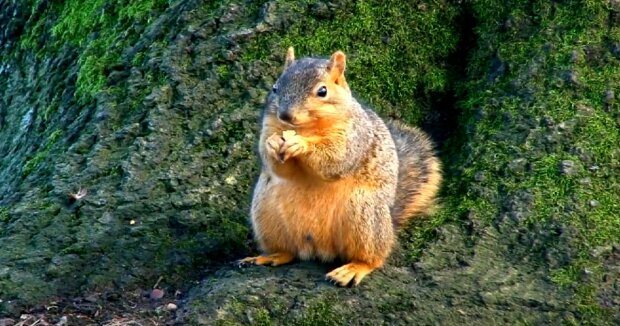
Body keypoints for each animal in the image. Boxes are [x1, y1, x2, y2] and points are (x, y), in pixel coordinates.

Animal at [240, 47, 444, 286]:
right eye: (275, 87)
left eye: (322, 91)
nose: (285, 115)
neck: (306, 128)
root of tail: (318, 248)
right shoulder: (270, 125)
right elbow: (278, 167)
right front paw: (272, 144)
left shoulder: (354, 134)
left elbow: (337, 157)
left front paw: (302, 144)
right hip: (266, 213)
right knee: (289, 252)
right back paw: (269, 256)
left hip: (364, 214)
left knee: (373, 257)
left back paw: (354, 268)